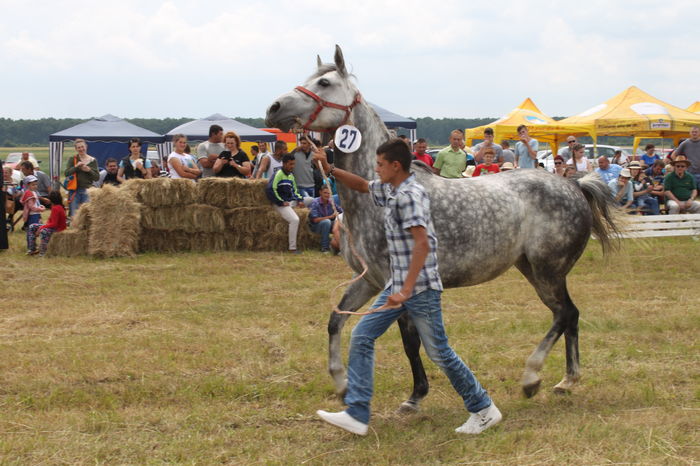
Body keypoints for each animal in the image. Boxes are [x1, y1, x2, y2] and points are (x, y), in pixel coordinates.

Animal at [266, 45, 621, 410]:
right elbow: (335, 321)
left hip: (548, 269)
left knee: (564, 315)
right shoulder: (369, 279)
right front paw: (341, 383)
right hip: (533, 270)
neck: (379, 197)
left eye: (324, 83)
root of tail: (575, 185)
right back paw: (567, 380)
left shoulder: (397, 284)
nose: (273, 108)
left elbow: (410, 341)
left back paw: (532, 377)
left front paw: (415, 395)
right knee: (569, 315)